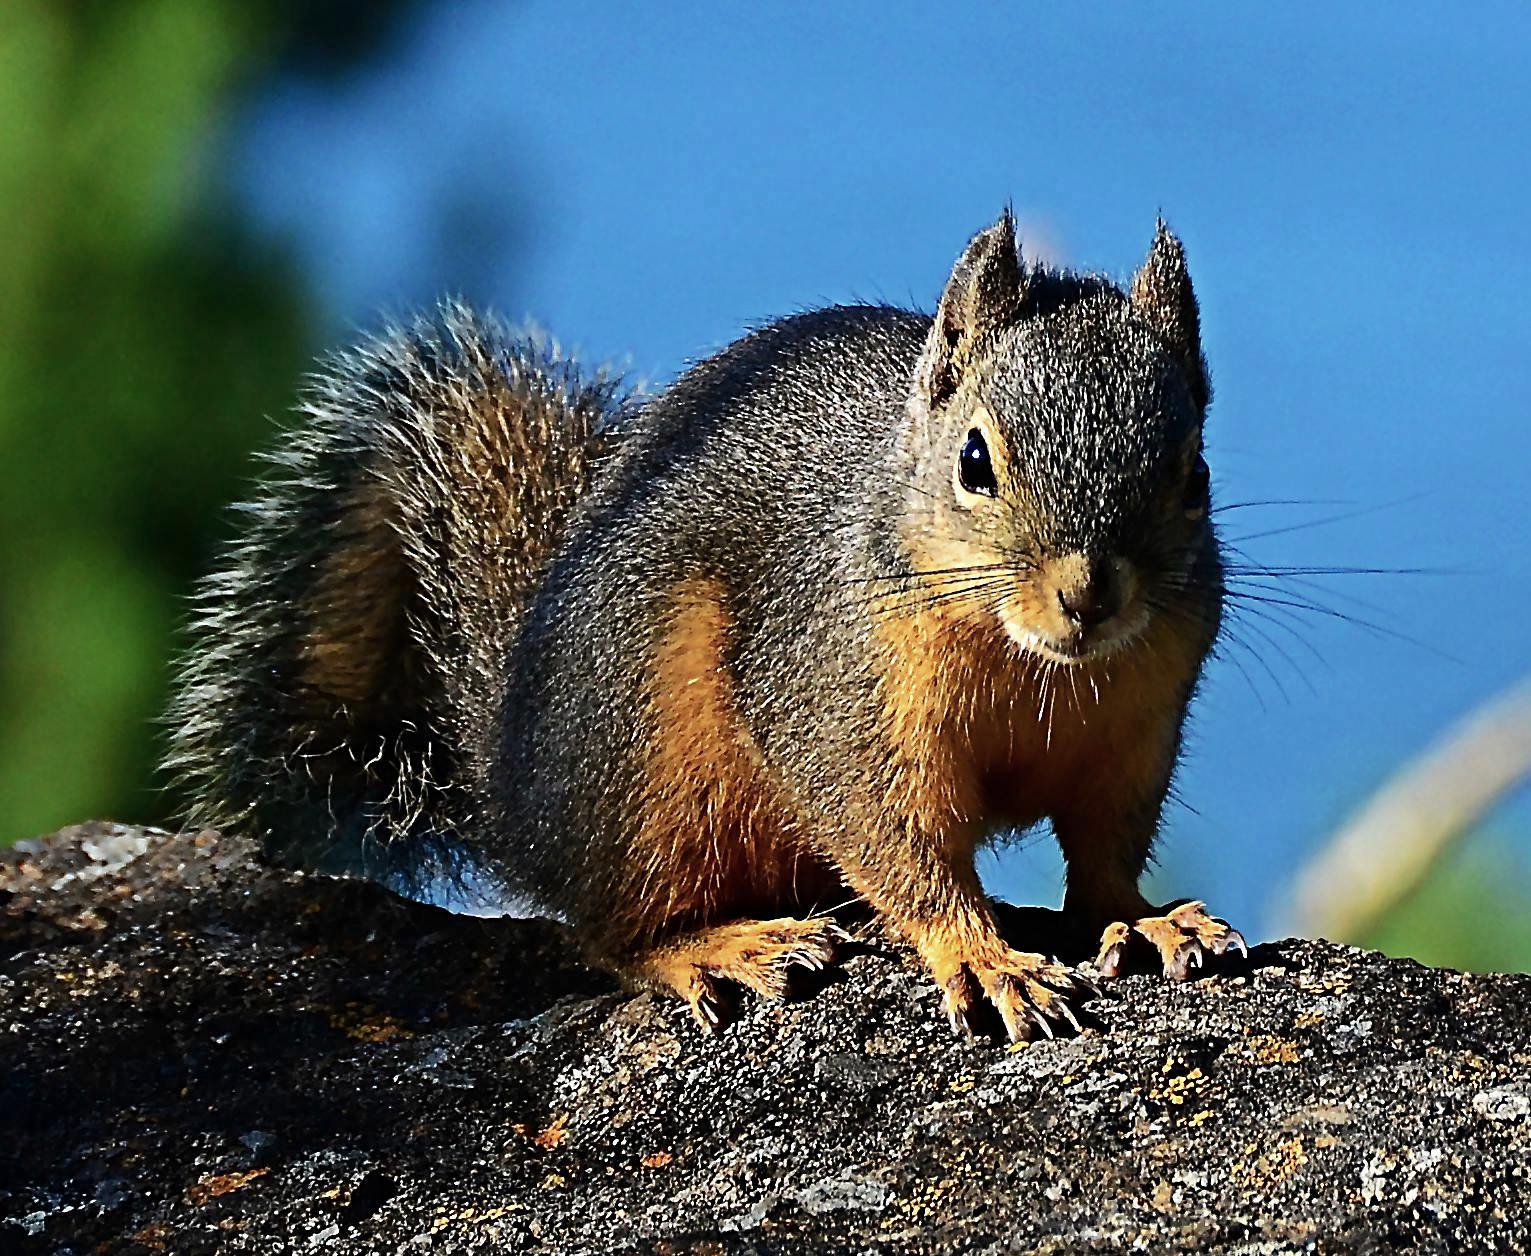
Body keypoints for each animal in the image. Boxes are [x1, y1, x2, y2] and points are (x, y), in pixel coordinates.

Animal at [165, 211, 1247, 1041]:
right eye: (974, 460)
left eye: (1193, 471)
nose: (1087, 595)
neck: (1030, 661)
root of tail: (509, 781)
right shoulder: (831, 695)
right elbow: (897, 845)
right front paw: (983, 956)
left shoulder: (1138, 724)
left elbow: (1104, 848)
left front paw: (1141, 921)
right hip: (645, 770)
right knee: (607, 930)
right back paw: (719, 947)